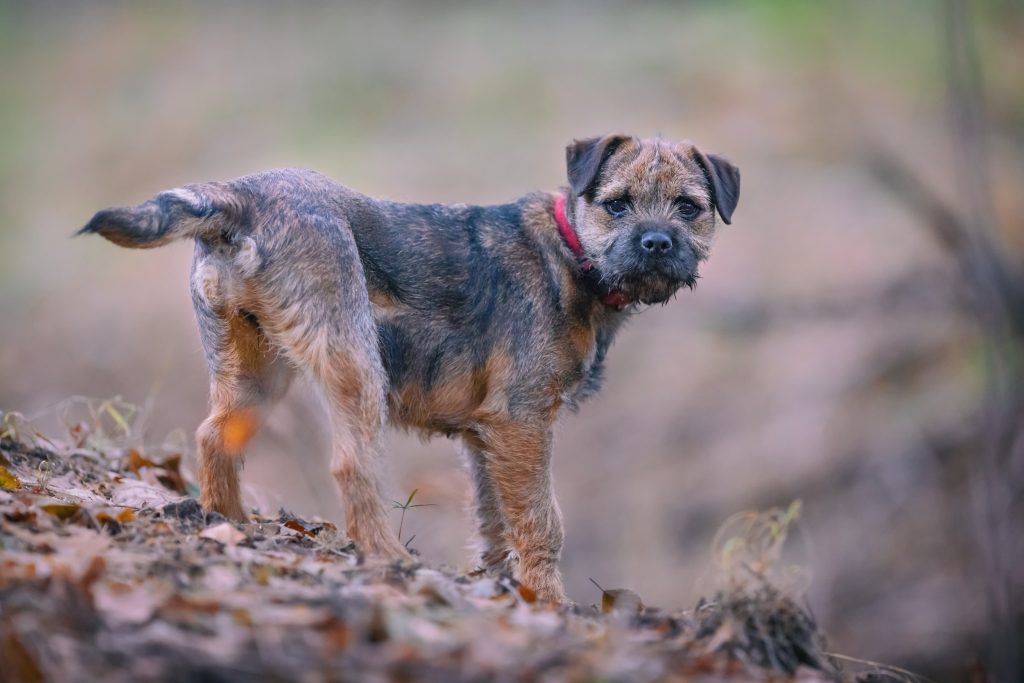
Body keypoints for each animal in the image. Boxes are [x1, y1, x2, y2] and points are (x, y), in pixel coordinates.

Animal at [79, 135, 737, 602]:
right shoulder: (524, 422)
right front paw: (550, 603)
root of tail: (239, 198)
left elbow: (494, 522)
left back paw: (229, 525)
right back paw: (389, 560)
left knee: (216, 436)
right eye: (616, 204)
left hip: (252, 368)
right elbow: (540, 521)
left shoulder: (488, 439)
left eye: (689, 208)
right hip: (354, 362)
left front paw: (508, 589)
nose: (656, 242)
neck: (571, 255)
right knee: (351, 467)